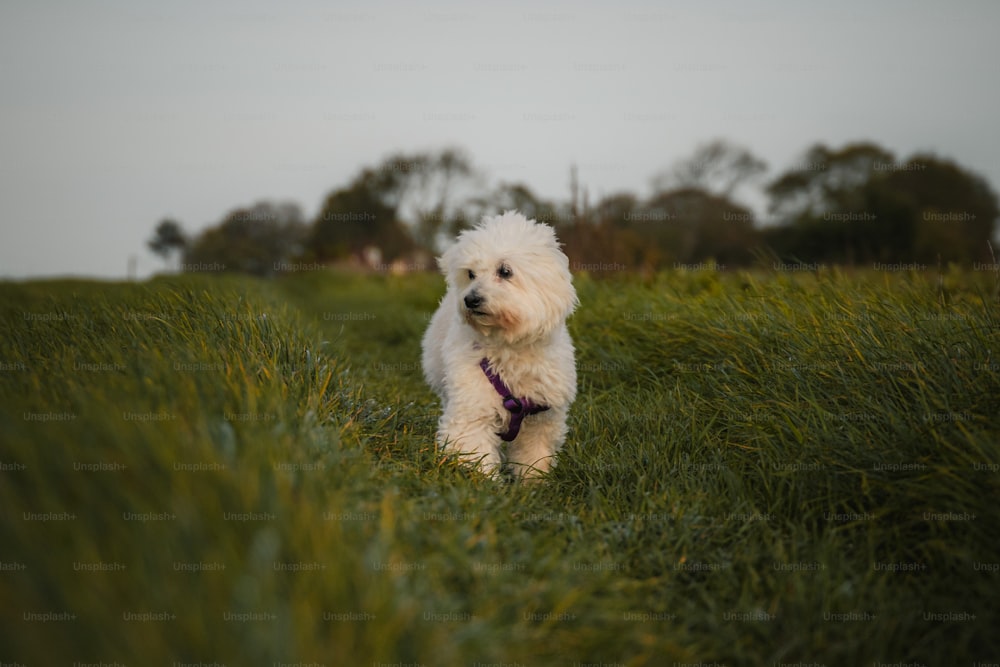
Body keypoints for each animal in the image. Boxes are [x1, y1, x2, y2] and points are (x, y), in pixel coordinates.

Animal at [422, 211, 580, 478]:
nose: (470, 299)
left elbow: (534, 458)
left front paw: (534, 483)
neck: (509, 345)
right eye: (471, 274)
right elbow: (475, 455)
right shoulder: (472, 409)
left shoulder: (542, 420)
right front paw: (485, 483)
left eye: (505, 271)